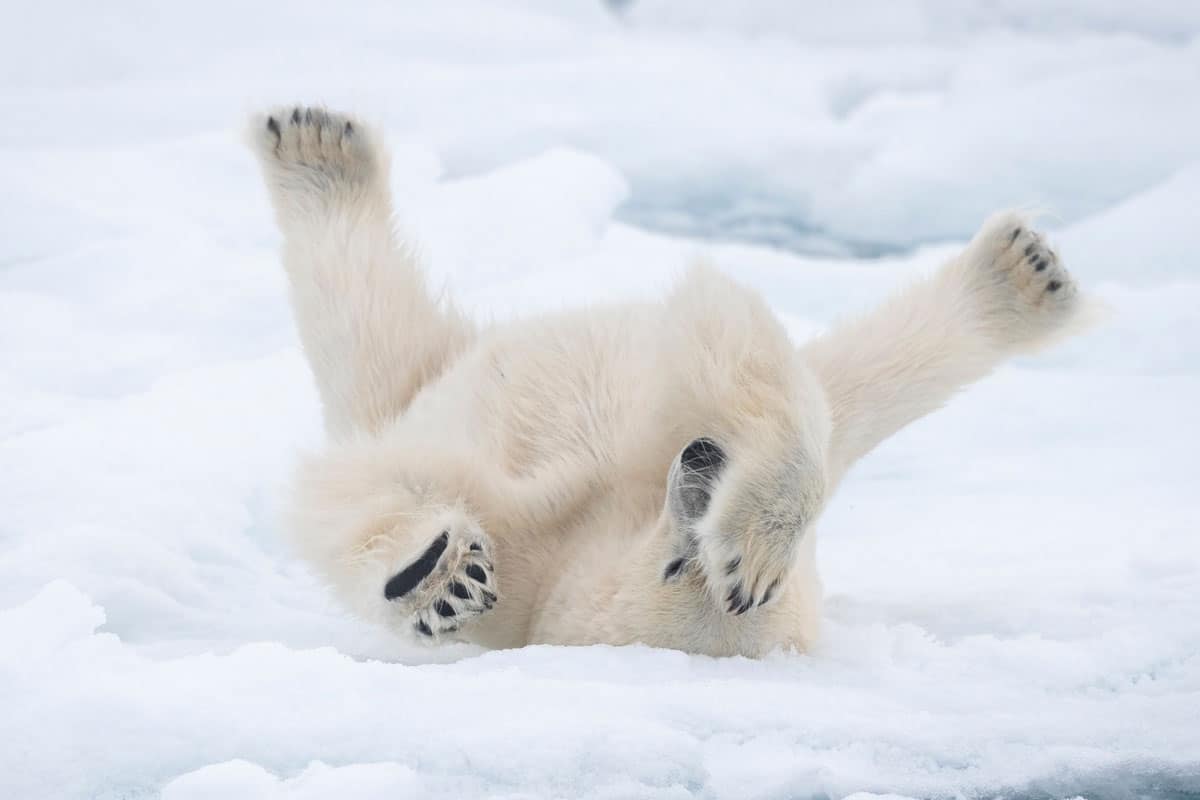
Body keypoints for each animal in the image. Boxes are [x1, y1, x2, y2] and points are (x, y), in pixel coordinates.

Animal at [250, 104, 1089, 657]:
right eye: (675, 561)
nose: (702, 459)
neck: (591, 523)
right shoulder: (564, 504)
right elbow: (356, 500)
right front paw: (441, 572)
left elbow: (743, 352)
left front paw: (753, 545)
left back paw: (1019, 279)